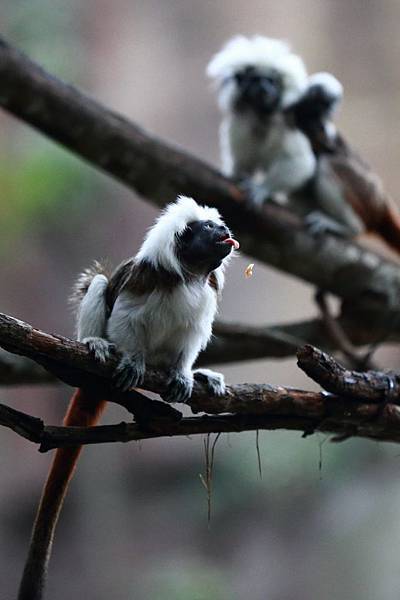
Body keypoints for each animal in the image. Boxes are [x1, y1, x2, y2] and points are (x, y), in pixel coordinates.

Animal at [18, 195, 238, 596]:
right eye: (210, 229)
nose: (227, 231)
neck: (189, 274)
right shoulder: (143, 281)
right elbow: (127, 317)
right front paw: (132, 359)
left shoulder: (205, 294)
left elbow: (191, 335)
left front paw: (184, 373)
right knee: (98, 283)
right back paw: (96, 344)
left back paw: (200, 376)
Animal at [206, 37, 316, 207]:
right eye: (255, 80)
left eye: (271, 81)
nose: (264, 88)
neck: (261, 116)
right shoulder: (238, 125)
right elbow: (243, 164)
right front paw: (236, 176)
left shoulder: (285, 125)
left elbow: (301, 163)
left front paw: (262, 188)